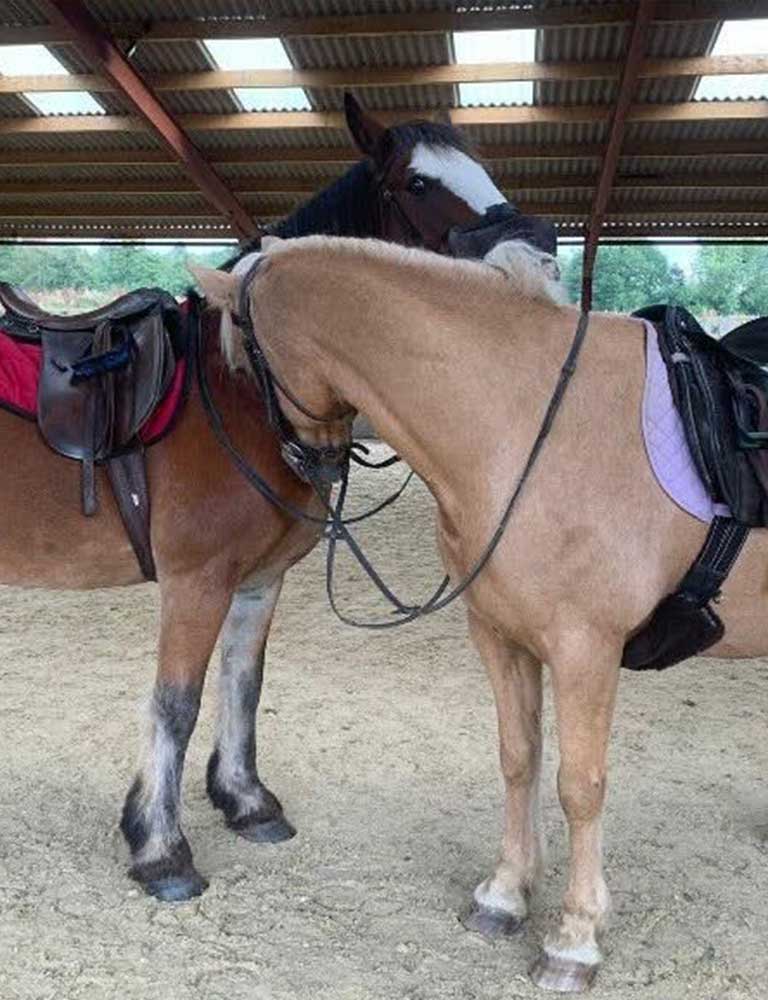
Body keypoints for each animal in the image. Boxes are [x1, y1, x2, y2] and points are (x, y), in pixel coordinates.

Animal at [0, 95, 519, 902]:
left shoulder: (258, 580)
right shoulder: (196, 580)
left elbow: (244, 683)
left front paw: (245, 802)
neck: (244, 386)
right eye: (418, 184)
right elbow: (176, 702)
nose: (528, 249)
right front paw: (161, 849)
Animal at [193, 235, 768, 993]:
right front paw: (505, 895)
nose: (308, 466)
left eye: (241, 363)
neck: (525, 424)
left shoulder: (586, 649)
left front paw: (575, 939)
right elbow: (519, 758)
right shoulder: (501, 637)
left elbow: (580, 786)